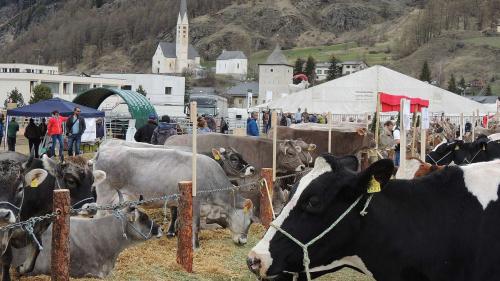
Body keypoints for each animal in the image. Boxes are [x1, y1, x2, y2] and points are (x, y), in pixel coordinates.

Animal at [93, 145, 256, 246]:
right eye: (250, 222)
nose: (243, 241)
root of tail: (103, 150)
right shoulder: (195, 203)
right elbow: (195, 225)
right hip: (104, 195)